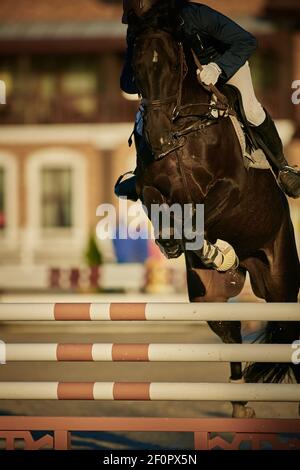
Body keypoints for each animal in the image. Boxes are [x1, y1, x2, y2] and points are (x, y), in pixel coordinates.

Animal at [131, 19, 300, 414]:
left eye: (172, 68)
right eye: (137, 71)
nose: (158, 139)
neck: (183, 128)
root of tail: (250, 267)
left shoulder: (230, 189)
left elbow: (200, 216)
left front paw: (217, 251)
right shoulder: (150, 188)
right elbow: (161, 206)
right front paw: (194, 247)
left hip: (282, 283)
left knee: (288, 331)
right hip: (209, 299)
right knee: (231, 332)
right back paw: (239, 402)